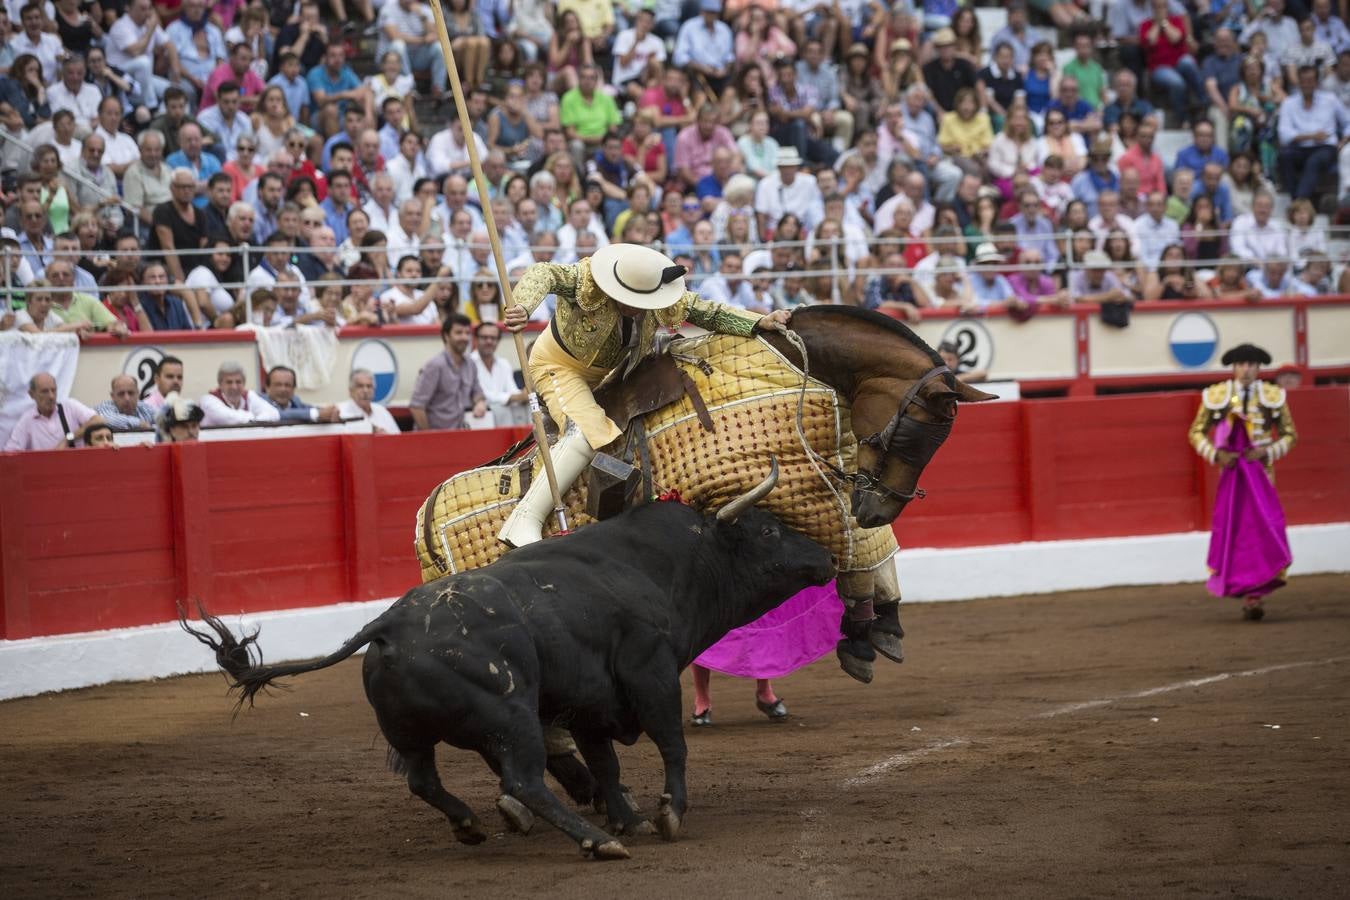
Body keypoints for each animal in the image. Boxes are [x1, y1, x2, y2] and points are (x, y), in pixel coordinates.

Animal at [184, 496, 837, 863]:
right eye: (769, 531)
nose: (828, 558)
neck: (666, 564)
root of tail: (389, 624)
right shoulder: (649, 674)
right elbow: (670, 743)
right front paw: (665, 815)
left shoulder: (589, 701)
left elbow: (606, 764)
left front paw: (627, 814)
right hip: (511, 714)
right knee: (522, 778)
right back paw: (595, 841)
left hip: (412, 736)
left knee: (424, 780)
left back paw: (474, 824)